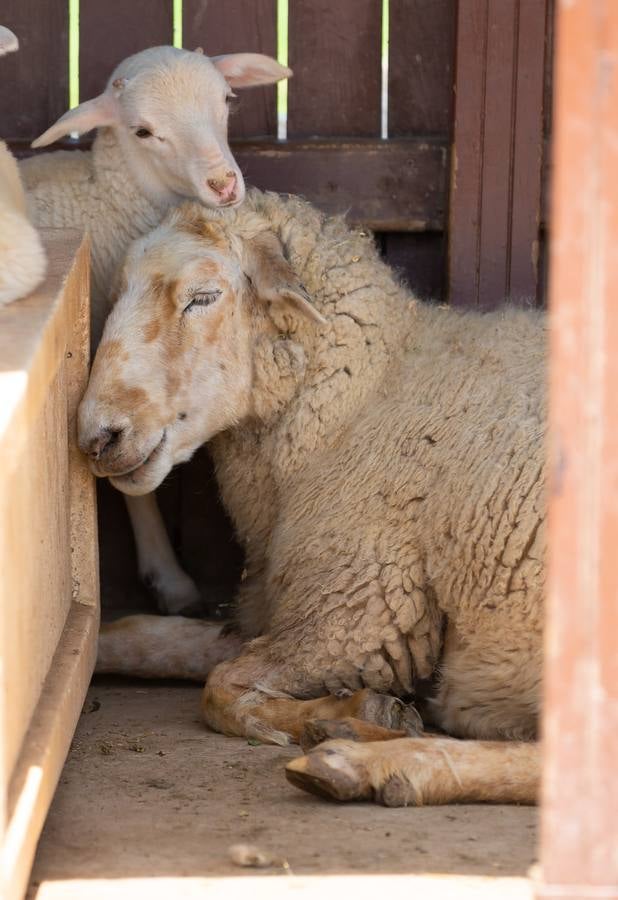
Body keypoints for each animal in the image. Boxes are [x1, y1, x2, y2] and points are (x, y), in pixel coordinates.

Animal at [79, 192, 540, 808]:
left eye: (203, 296)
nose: (96, 438)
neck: (364, 393)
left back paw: (369, 762)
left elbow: (220, 690)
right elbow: (136, 637)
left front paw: (356, 711)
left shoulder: (354, 613)